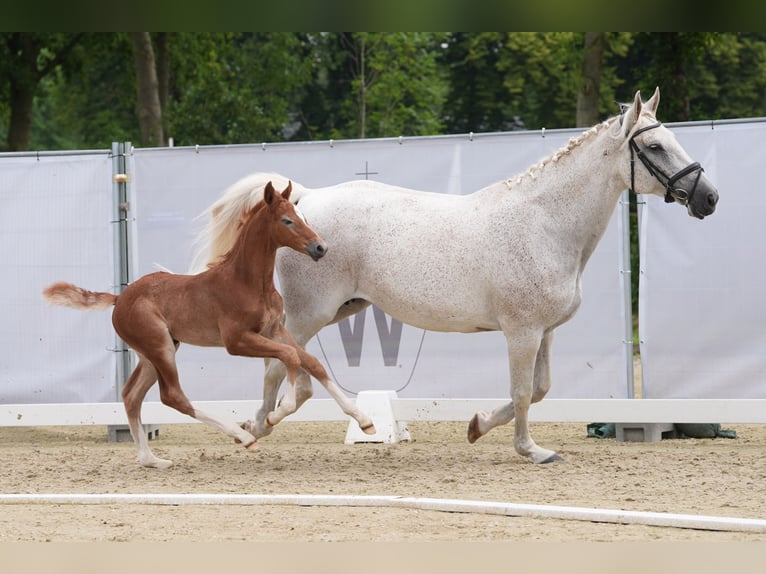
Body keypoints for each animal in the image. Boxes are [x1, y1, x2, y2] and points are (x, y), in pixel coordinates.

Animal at [43, 182, 376, 470]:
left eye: (302, 217)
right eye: (287, 221)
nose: (320, 248)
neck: (247, 282)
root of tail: (119, 298)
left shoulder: (275, 330)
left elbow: (311, 362)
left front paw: (364, 420)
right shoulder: (237, 341)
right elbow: (291, 357)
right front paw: (274, 415)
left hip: (155, 352)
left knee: (131, 395)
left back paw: (151, 460)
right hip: (160, 348)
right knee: (172, 396)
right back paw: (243, 437)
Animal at [192, 90, 720, 466]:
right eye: (654, 146)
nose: (708, 197)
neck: (544, 223)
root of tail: (303, 202)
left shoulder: (543, 332)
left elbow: (540, 390)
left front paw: (477, 425)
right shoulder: (521, 333)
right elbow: (523, 392)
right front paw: (530, 450)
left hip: (341, 309)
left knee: (282, 369)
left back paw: (261, 425)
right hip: (308, 315)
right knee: (281, 369)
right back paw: (262, 426)